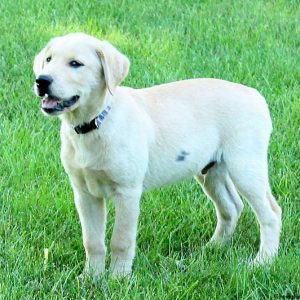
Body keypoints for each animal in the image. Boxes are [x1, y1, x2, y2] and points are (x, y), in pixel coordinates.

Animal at [32, 32, 282, 276]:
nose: (41, 80)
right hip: (210, 171)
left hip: (245, 165)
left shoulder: (128, 192)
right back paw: (212, 248)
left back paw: (263, 262)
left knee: (271, 213)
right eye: (49, 60)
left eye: (76, 64)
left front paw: (118, 279)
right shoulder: (84, 193)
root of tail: (254, 94)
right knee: (231, 207)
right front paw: (90, 278)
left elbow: (121, 240)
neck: (96, 123)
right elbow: (92, 241)